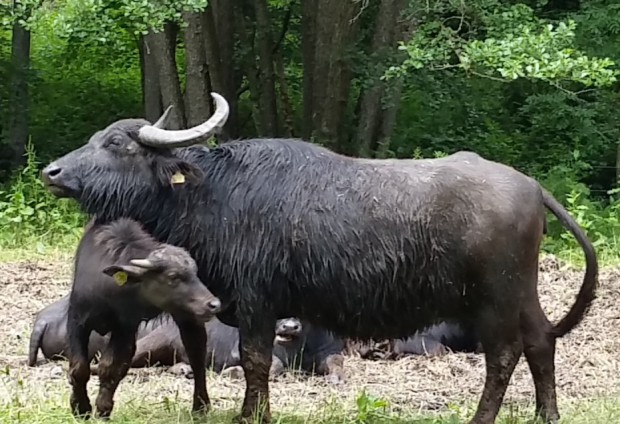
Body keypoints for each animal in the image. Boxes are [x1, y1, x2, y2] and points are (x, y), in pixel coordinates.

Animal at [63, 220, 222, 420]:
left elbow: (111, 367)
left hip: (188, 316)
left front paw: (102, 409)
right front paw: (81, 408)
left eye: (195, 273)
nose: (214, 304)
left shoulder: (125, 328)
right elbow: (79, 367)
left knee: (197, 357)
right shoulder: (76, 321)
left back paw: (200, 407)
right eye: (172, 276)